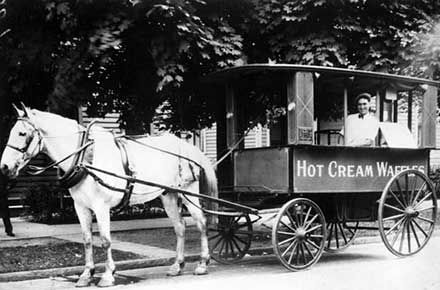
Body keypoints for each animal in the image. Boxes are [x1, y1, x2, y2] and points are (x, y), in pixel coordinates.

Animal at [0, 103, 217, 286]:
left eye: (22, 133)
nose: (4, 167)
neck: (84, 158)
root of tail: (186, 145)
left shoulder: (101, 206)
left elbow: (105, 240)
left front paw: (107, 275)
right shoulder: (81, 207)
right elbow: (87, 239)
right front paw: (86, 275)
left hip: (189, 193)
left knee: (201, 223)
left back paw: (202, 263)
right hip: (169, 195)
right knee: (180, 227)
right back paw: (177, 266)